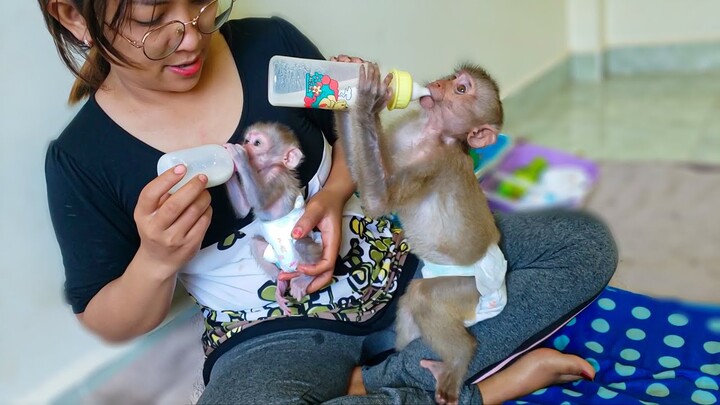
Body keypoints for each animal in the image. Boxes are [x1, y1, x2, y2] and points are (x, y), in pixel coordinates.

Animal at [225, 121, 320, 314]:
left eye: (257, 143)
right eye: (247, 140)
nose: (245, 145)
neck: (262, 172)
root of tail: (290, 268)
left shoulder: (277, 176)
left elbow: (260, 201)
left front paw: (239, 157)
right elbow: (244, 209)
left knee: (301, 245)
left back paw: (305, 279)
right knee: (256, 244)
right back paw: (280, 283)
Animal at [336, 64, 506, 404]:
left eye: (461, 90)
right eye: (454, 79)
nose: (439, 84)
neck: (431, 131)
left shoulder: (435, 162)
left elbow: (379, 200)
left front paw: (368, 98)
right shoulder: (406, 128)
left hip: (467, 288)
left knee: (424, 298)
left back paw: (456, 360)